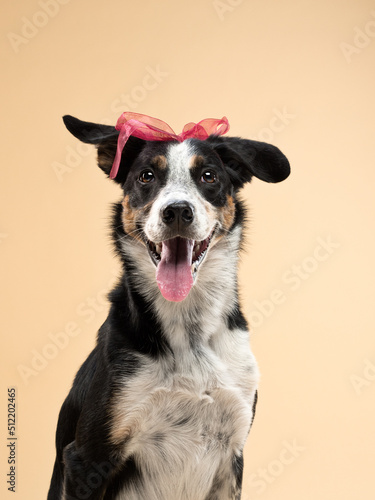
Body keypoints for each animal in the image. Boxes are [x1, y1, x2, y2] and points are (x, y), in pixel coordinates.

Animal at [47, 113, 290, 500]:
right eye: (147, 176)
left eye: (209, 176)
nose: (177, 211)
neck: (188, 330)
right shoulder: (87, 458)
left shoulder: (231, 456)